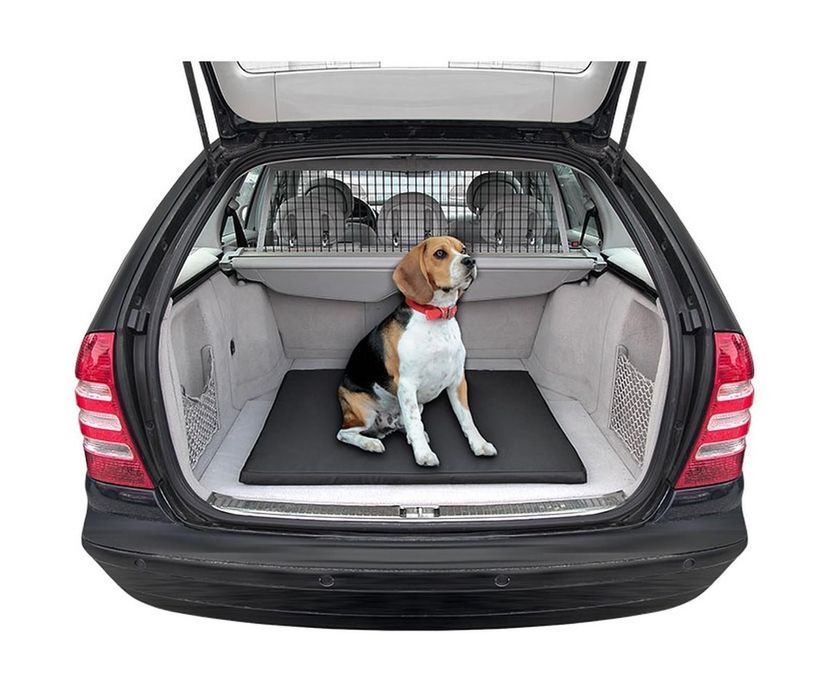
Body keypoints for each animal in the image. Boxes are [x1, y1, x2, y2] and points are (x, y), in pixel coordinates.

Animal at [336, 236, 497, 467]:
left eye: (463, 249)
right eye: (440, 253)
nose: (470, 260)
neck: (437, 317)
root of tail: (386, 424)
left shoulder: (458, 380)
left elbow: (467, 419)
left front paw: (480, 444)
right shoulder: (407, 384)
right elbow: (415, 423)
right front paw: (424, 455)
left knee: (406, 424)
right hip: (363, 412)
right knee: (344, 433)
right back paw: (371, 443)